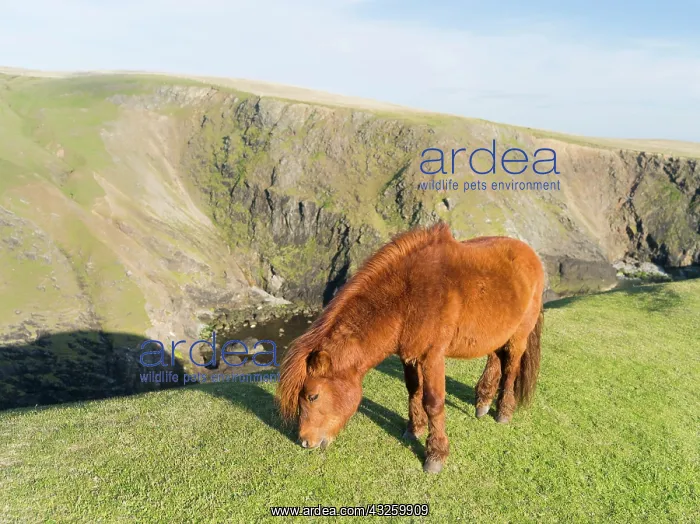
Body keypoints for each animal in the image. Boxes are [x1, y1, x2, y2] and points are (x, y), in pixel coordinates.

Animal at [275, 222, 545, 473]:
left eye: (312, 396)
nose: (304, 441)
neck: (408, 297)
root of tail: (531, 254)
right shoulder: (410, 357)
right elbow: (414, 391)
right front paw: (414, 429)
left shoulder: (432, 357)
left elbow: (433, 402)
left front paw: (435, 455)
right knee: (495, 359)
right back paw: (483, 401)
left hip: (519, 336)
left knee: (510, 369)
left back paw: (504, 411)